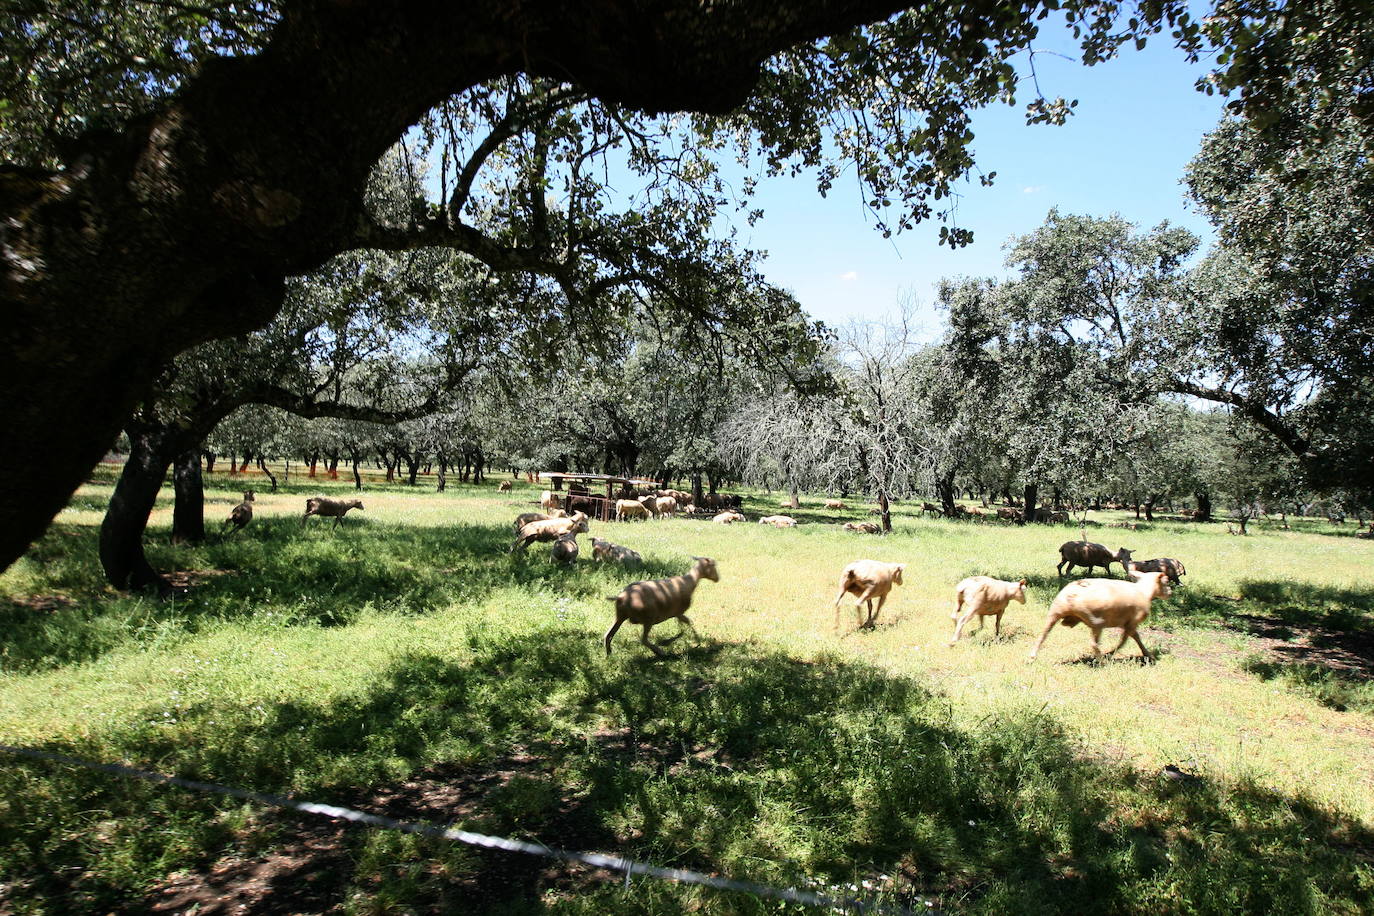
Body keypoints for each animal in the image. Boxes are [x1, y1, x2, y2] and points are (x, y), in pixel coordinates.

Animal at [1027, 568, 1176, 661]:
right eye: (1166, 582)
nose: (1170, 593)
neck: (1144, 591)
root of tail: (1073, 593)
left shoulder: (1128, 624)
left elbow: (1135, 638)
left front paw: (1148, 654)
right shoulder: (1132, 623)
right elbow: (1125, 640)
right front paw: (1110, 653)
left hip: (1055, 612)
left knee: (1043, 635)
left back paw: (1032, 656)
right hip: (1096, 621)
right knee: (1093, 643)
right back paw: (1101, 661)